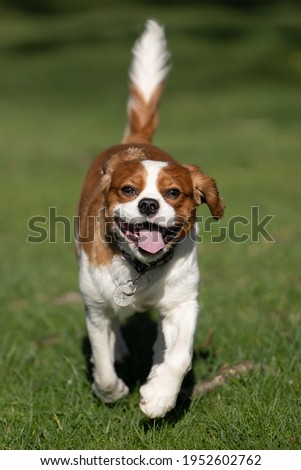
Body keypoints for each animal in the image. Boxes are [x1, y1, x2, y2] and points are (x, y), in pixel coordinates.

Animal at [76, 19, 224, 418]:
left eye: (173, 193)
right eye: (129, 190)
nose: (148, 205)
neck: (141, 267)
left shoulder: (184, 302)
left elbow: (180, 357)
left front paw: (160, 395)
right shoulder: (96, 305)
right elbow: (102, 357)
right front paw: (111, 389)